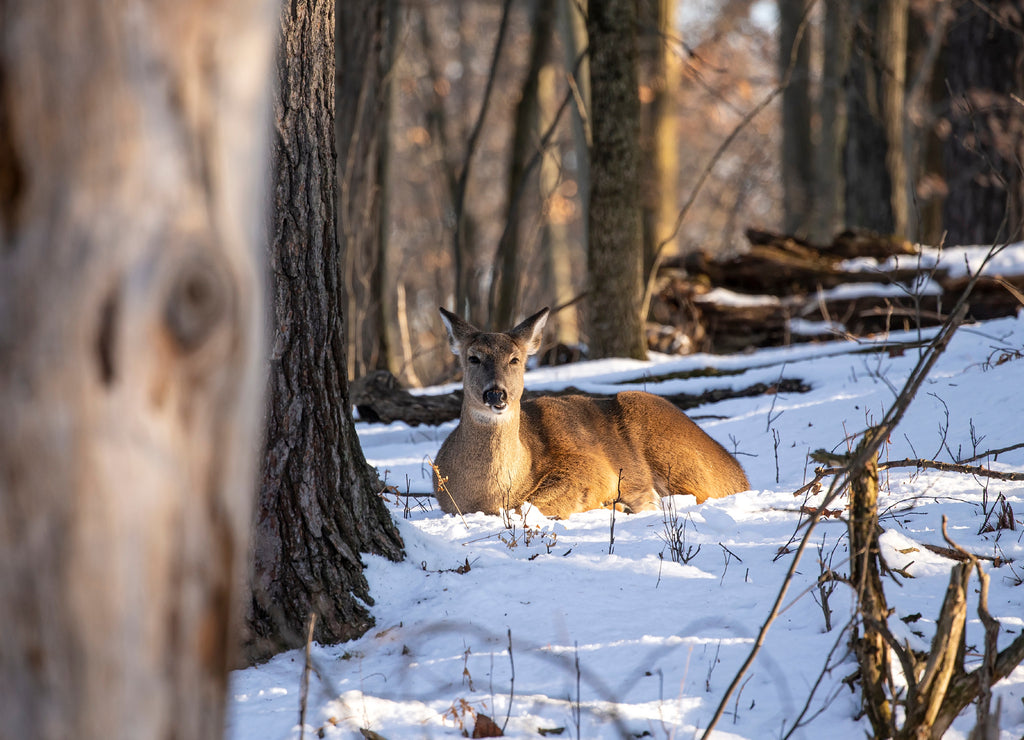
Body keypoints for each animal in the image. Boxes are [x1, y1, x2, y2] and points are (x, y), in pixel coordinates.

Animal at [428, 307, 749, 521]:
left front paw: (621, 504)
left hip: (675, 452)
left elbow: (524, 507)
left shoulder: (592, 467)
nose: (496, 394)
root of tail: (738, 473)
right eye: (473, 358)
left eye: (515, 359)